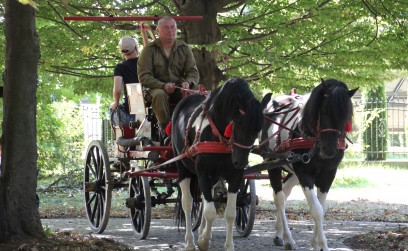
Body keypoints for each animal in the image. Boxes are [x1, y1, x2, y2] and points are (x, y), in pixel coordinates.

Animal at [172, 77, 270, 250]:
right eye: (238, 124)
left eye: (258, 129)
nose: (240, 161)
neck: (217, 135)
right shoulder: (203, 174)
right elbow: (209, 212)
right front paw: (203, 242)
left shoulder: (235, 176)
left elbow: (229, 213)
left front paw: (226, 245)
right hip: (183, 167)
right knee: (188, 203)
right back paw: (190, 242)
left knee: (204, 200)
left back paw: (202, 232)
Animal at [262, 79, 356, 250]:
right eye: (324, 112)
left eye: (345, 115)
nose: (329, 149)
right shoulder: (304, 174)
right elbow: (316, 209)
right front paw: (323, 245)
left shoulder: (329, 174)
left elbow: (322, 208)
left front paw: (316, 244)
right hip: (272, 164)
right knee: (279, 199)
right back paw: (288, 239)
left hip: (292, 170)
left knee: (285, 192)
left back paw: (279, 234)